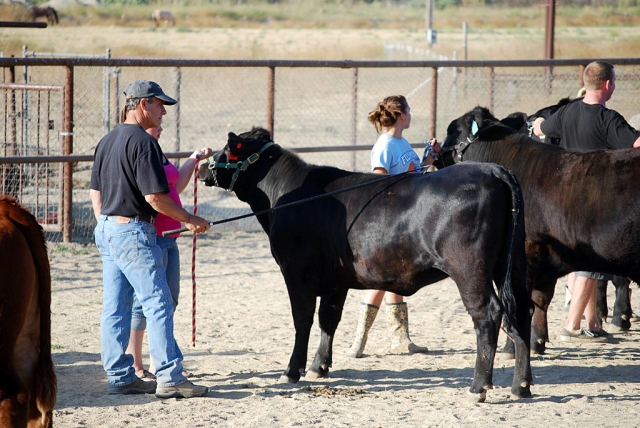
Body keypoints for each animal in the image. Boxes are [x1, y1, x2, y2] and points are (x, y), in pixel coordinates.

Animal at [200, 127, 536, 402]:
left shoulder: (296, 274)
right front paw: (320, 366)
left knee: (488, 314)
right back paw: (521, 385)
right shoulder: (335, 280)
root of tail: (493, 170)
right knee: (522, 309)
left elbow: (302, 321)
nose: (203, 166)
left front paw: (292, 370)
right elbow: (328, 319)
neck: (285, 197)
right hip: (512, 264)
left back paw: (479, 386)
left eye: (228, 148)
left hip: (469, 269)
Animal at [442, 107, 640, 354]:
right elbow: (540, 299)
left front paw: (513, 347)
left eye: (452, 130)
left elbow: (520, 303)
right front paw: (537, 341)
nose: (435, 155)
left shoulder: (525, 253)